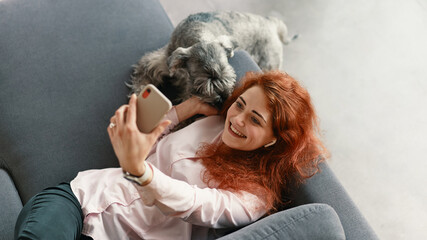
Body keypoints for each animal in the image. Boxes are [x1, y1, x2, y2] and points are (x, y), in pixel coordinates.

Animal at [130, 11, 294, 109]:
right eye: (202, 84)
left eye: (230, 77)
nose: (223, 99)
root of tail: (271, 22)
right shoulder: (158, 62)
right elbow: (143, 77)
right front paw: (139, 95)